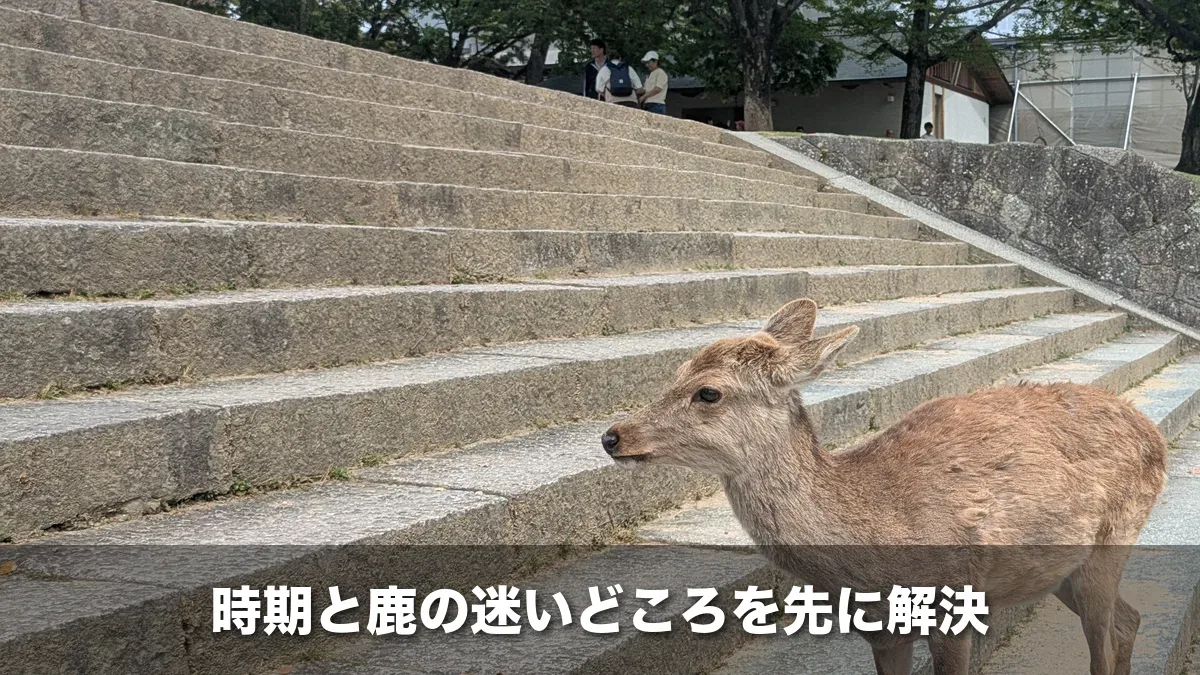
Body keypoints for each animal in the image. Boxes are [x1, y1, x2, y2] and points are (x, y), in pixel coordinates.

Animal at [601, 298, 1167, 675]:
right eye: (676, 370)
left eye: (709, 391)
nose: (612, 435)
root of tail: (1153, 433)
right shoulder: (878, 628)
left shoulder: (953, 602)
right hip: (1059, 569)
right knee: (1129, 619)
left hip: (1114, 540)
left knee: (1105, 639)